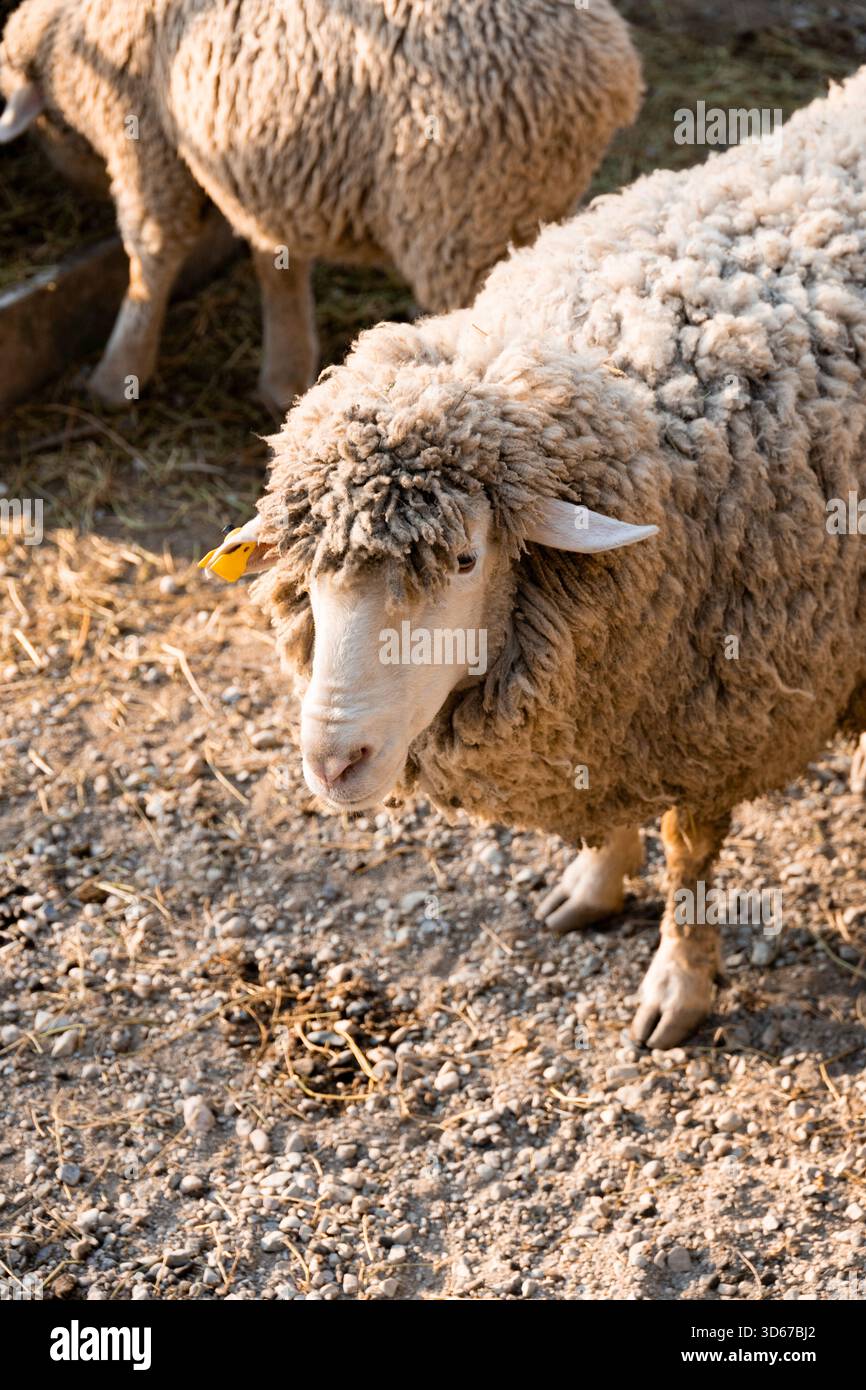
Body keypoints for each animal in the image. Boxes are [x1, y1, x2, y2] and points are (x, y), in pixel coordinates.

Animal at [0, 0, 642, 413]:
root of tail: (609, 75)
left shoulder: (146, 139)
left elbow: (152, 253)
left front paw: (117, 376)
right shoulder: (265, 177)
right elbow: (275, 264)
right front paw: (284, 380)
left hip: (465, 216)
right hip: (531, 204)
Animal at [200, 66, 866, 1049]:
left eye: (465, 561)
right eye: (312, 572)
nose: (332, 763)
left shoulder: (713, 717)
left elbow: (692, 857)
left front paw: (678, 985)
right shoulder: (609, 708)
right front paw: (593, 884)